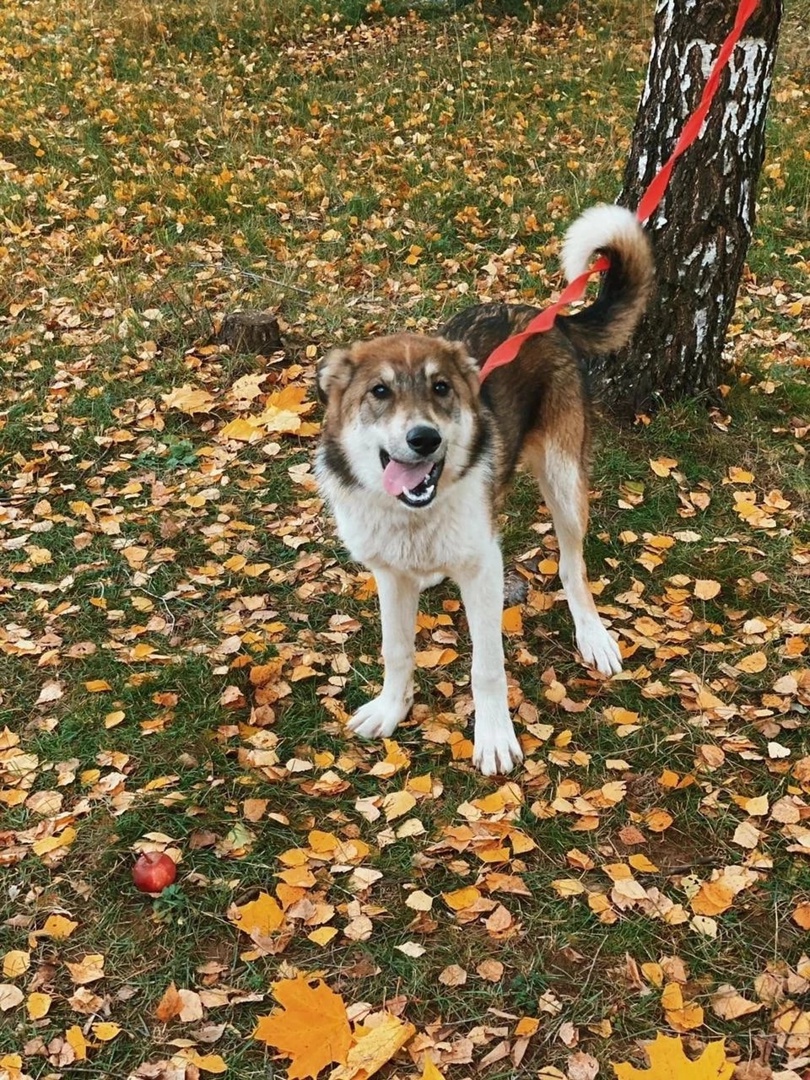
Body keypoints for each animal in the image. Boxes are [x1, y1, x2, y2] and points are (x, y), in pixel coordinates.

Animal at [313, 204, 656, 777]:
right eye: (379, 392)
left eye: (441, 389)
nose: (424, 439)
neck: (415, 518)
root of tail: (547, 317)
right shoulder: (388, 575)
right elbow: (395, 650)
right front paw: (391, 708)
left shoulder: (483, 572)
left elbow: (486, 665)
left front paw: (494, 737)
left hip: (563, 480)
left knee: (573, 566)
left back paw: (592, 634)